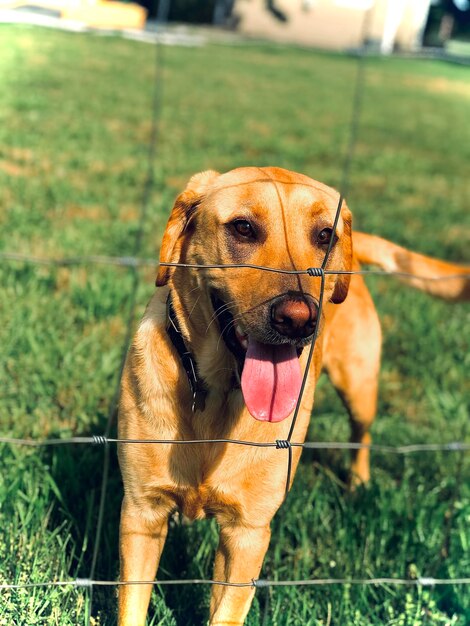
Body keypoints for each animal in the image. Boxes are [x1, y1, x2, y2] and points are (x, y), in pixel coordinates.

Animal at [116, 166, 466, 624]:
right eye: (243, 228)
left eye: (325, 235)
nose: (298, 319)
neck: (216, 399)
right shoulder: (142, 514)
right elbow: (132, 606)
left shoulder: (247, 534)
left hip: (360, 386)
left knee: (362, 434)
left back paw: (358, 483)